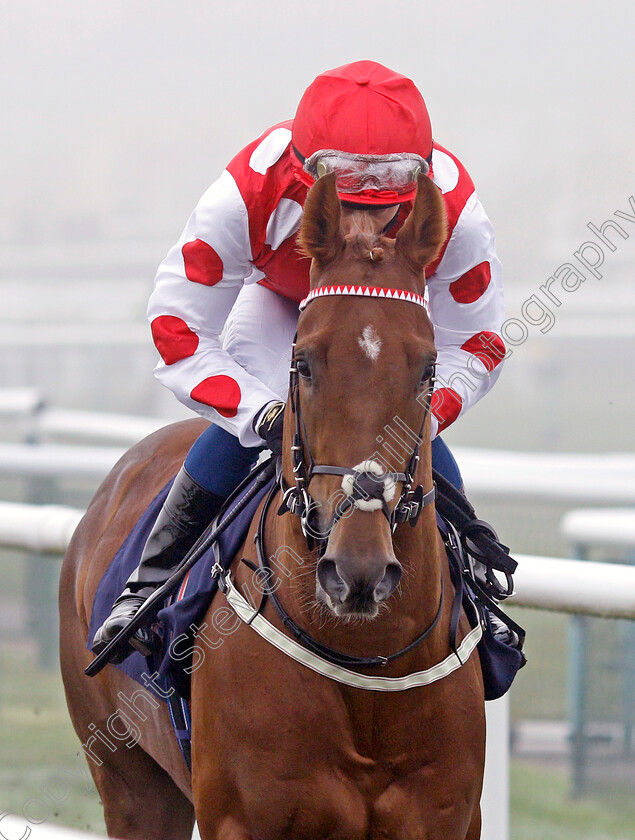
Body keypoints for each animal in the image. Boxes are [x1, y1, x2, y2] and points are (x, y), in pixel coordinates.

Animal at [60, 172, 486, 840]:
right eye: (303, 362)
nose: (357, 569)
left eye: (427, 369)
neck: (367, 663)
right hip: (130, 784)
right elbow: (178, 324)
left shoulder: (448, 817)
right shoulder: (242, 819)